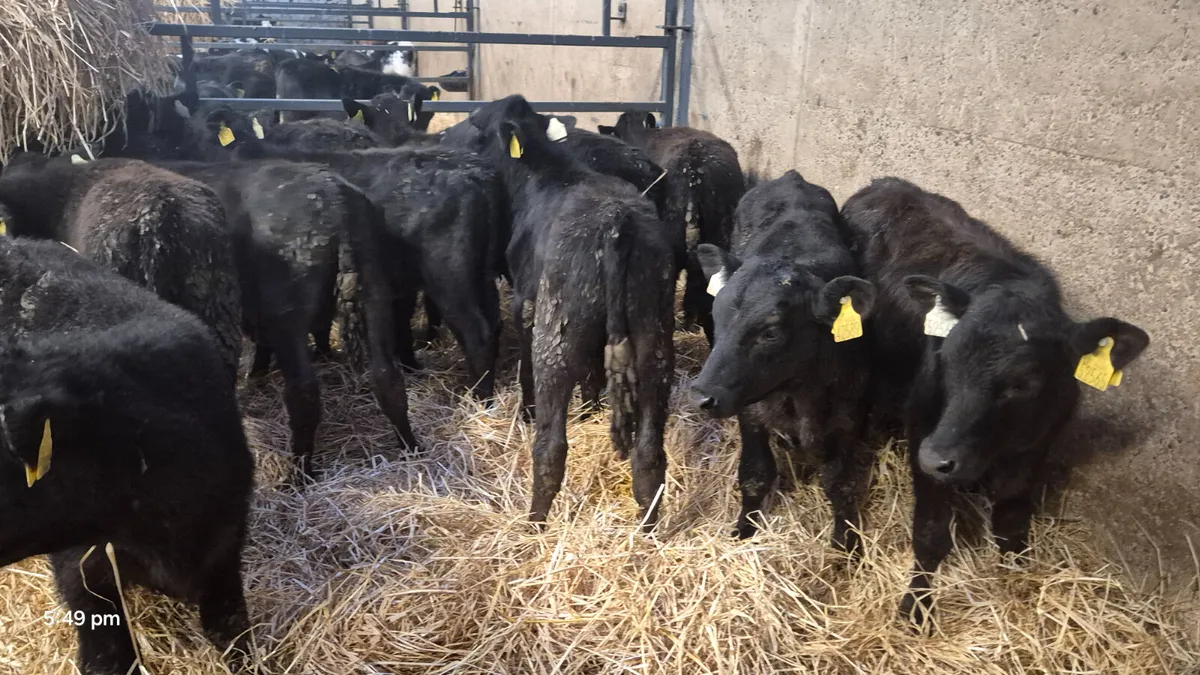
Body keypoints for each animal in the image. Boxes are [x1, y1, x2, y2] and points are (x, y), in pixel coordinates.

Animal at [447, 95, 676, 529]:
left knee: (551, 447)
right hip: (652, 335)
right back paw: (649, 530)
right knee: (649, 452)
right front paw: (589, 410)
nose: (445, 139)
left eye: (475, 123)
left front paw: (527, 412)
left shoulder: (525, 299)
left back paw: (534, 524)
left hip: (557, 333)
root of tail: (617, 223)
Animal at [688, 170, 877, 552]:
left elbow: (842, 484)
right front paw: (744, 529)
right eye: (716, 314)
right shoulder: (750, 411)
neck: (800, 395)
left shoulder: (850, 416)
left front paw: (846, 545)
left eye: (771, 332)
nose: (702, 396)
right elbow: (755, 474)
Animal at [840, 177, 1150, 627]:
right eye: (946, 358)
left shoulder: (1036, 447)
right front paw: (916, 605)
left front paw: (1019, 585)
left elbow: (1011, 525)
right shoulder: (924, 431)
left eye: (1025, 381)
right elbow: (931, 533)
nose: (937, 457)